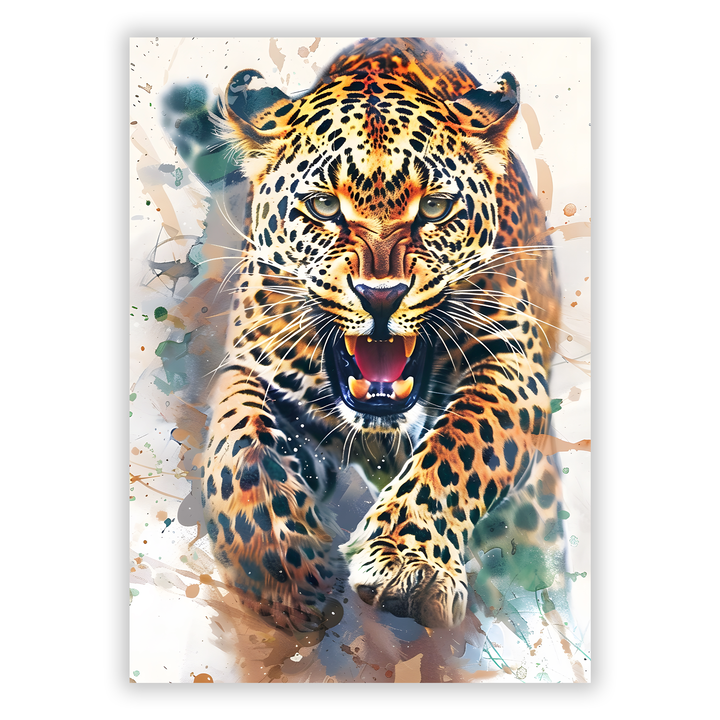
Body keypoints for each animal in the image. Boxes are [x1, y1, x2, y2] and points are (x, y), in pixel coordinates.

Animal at [192, 37, 565, 632]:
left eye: (434, 207)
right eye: (324, 206)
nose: (381, 296)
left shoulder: (512, 364)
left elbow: (460, 444)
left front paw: (408, 564)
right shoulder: (254, 365)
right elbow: (238, 449)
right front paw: (285, 570)